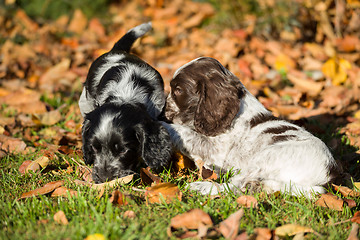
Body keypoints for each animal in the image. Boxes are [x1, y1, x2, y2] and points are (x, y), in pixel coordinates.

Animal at [163, 57, 338, 198]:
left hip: (265, 157)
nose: (163, 111)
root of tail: (329, 176)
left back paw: (202, 187)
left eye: (178, 90)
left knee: (236, 186)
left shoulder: (217, 151)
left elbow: (185, 133)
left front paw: (161, 124)